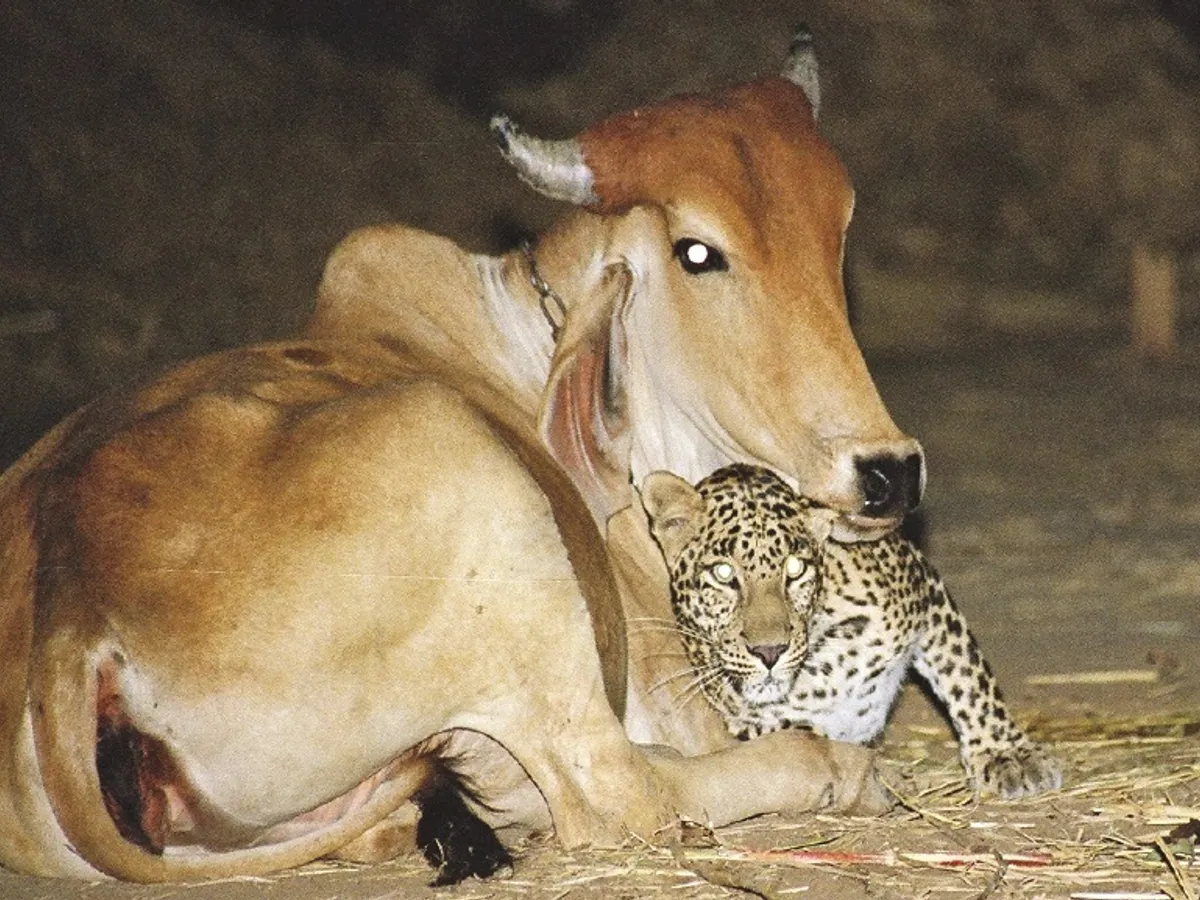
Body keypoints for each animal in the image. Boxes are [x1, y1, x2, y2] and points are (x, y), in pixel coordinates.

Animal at [0, 31, 915, 882]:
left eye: (838, 227)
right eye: (698, 252)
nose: (888, 470)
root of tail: (70, 619)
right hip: (486, 506)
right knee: (620, 792)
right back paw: (841, 771)